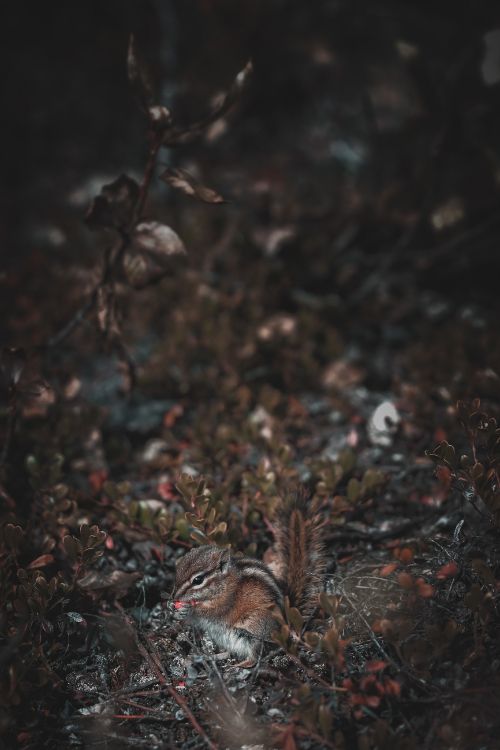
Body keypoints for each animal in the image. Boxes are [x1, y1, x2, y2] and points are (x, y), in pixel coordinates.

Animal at [172, 491, 326, 665]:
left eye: (198, 580)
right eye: (178, 568)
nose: (175, 597)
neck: (224, 584)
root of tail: (286, 622)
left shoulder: (225, 602)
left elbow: (212, 612)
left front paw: (190, 608)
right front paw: (175, 611)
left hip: (252, 630)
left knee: (255, 656)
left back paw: (238, 665)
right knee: (230, 652)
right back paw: (213, 656)